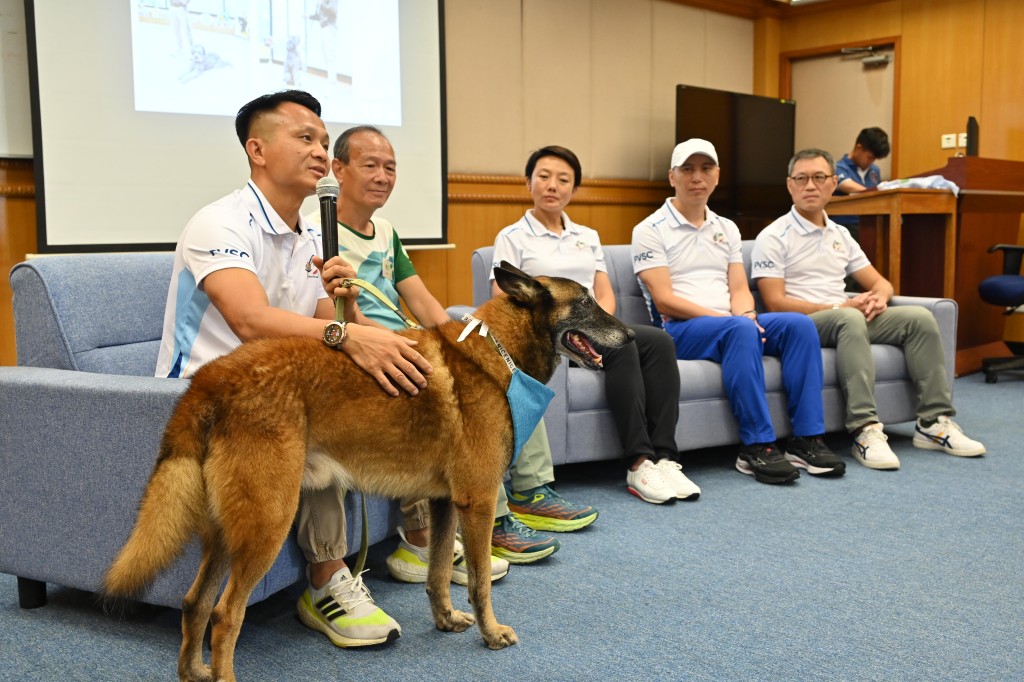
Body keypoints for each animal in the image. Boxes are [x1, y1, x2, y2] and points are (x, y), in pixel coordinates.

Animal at [103, 262, 630, 675]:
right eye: (585, 302)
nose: (630, 336)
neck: (495, 356)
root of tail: (211, 378)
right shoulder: (476, 504)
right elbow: (480, 582)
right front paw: (491, 633)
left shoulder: (444, 505)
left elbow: (439, 573)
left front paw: (445, 620)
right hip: (266, 526)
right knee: (225, 617)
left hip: (227, 534)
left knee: (194, 604)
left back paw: (195, 672)